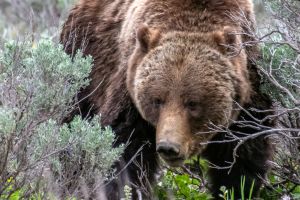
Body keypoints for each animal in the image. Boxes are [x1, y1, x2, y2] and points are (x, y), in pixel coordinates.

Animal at [61, 0, 274, 198]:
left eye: (192, 103)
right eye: (157, 100)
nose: (168, 147)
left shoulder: (247, 99)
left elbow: (241, 159)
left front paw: (237, 189)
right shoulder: (129, 92)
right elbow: (123, 152)